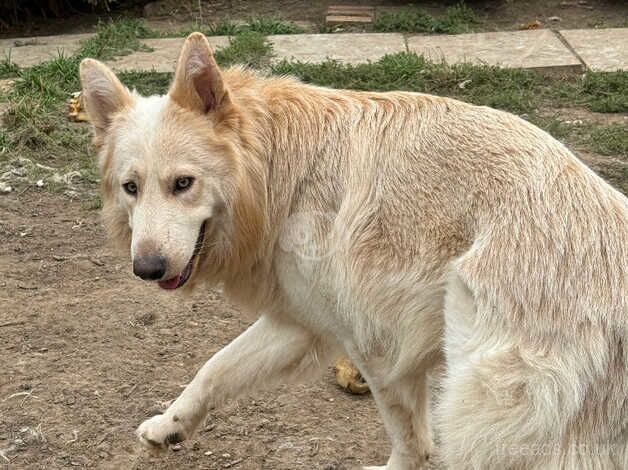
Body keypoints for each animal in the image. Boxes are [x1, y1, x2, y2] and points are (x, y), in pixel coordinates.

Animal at [79, 32, 628, 466]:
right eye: (131, 188)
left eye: (183, 184)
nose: (147, 269)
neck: (280, 173)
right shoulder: (300, 323)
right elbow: (213, 369)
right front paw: (169, 425)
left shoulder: (377, 346)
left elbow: (411, 441)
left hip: (475, 407)